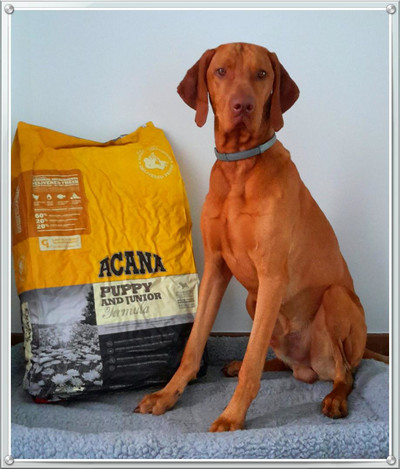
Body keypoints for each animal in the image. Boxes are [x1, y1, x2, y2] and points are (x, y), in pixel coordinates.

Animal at [135, 43, 389, 432]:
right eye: (221, 71)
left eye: (262, 74)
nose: (243, 106)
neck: (239, 167)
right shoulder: (216, 269)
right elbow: (194, 344)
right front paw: (167, 394)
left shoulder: (271, 276)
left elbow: (254, 358)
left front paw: (232, 416)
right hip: (253, 302)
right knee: (286, 363)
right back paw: (243, 363)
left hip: (334, 300)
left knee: (346, 372)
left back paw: (334, 399)